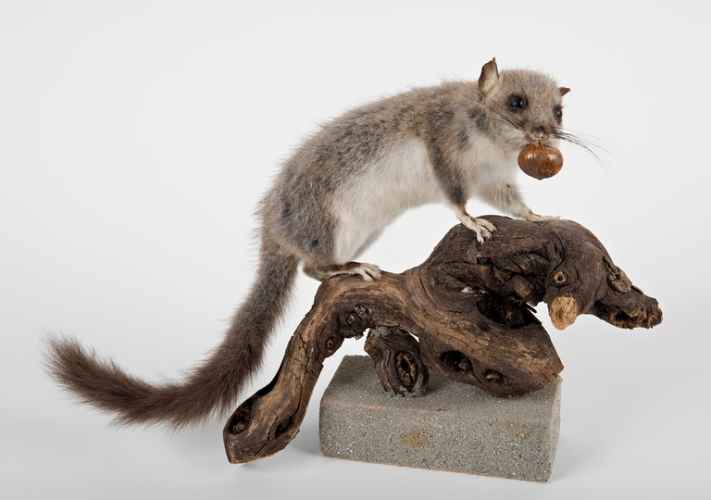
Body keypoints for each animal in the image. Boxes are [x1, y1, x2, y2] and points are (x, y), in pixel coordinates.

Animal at [48, 58, 571, 427]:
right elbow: (456, 196)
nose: (548, 134)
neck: (490, 144)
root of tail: (274, 229)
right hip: (330, 221)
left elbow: (510, 201)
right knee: (311, 268)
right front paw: (474, 222)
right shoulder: (443, 146)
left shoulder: (496, 179)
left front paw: (538, 214)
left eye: (559, 110)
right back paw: (351, 269)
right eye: (517, 102)